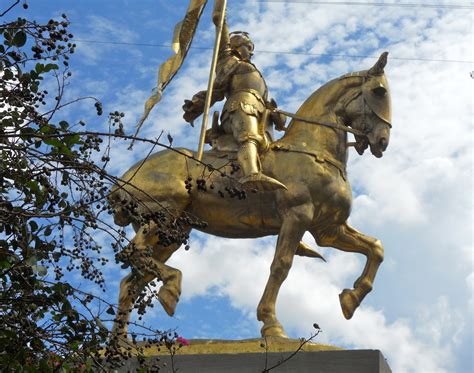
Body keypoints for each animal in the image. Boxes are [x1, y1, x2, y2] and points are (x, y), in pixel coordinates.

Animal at [109, 51, 390, 338]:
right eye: (379, 91)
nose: (382, 142)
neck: (313, 150)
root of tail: (124, 179)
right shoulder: (297, 216)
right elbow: (281, 265)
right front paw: (271, 323)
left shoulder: (328, 229)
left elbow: (376, 248)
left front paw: (351, 299)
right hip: (164, 213)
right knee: (133, 252)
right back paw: (172, 286)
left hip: (171, 233)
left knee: (132, 280)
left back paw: (122, 341)